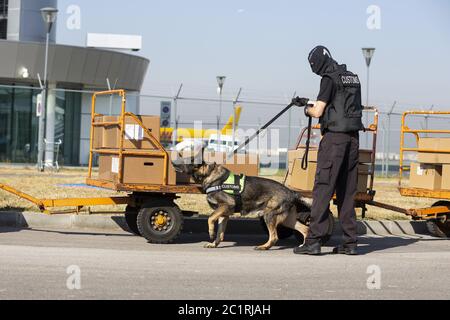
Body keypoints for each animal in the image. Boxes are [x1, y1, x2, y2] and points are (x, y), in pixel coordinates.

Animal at [171, 150, 312, 250]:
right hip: (286, 219)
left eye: (184, 160)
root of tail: (292, 192)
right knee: (305, 229)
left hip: (269, 215)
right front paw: (214, 244)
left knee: (274, 237)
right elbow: (220, 233)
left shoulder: (225, 206)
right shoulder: (224, 214)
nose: (172, 162)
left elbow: (210, 218)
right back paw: (303, 246)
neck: (209, 174)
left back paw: (263, 247)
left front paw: (210, 233)